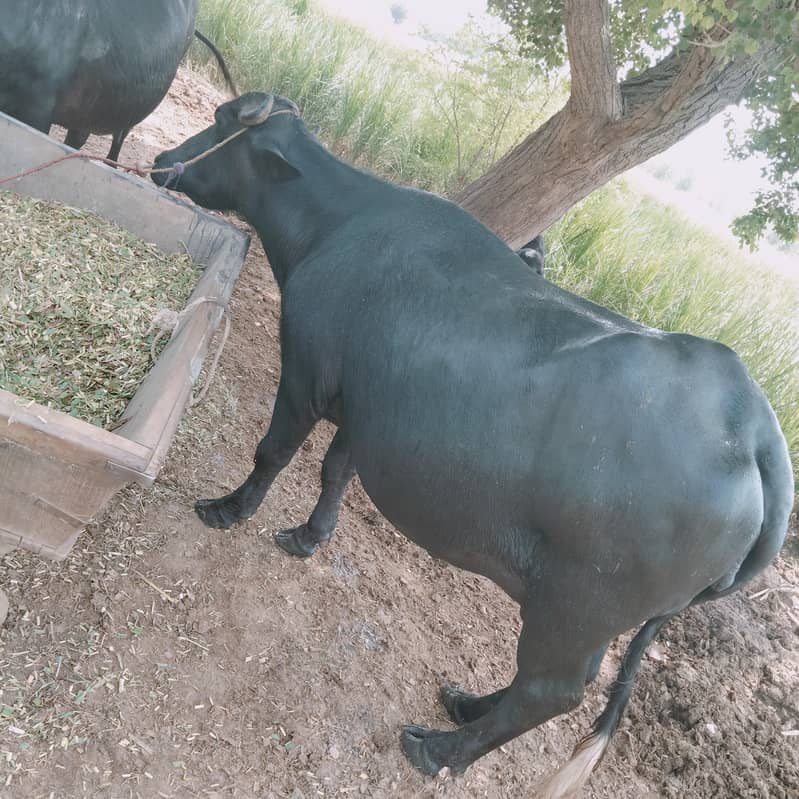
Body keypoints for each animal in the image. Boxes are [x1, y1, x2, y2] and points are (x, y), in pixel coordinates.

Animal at [152, 92, 793, 795]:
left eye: (220, 122)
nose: (161, 160)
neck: (338, 227)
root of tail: (754, 424)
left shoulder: (306, 370)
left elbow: (274, 451)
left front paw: (227, 510)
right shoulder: (368, 406)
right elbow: (336, 470)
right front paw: (306, 537)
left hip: (579, 604)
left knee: (552, 691)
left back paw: (439, 749)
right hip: (587, 614)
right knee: (556, 685)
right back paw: (465, 705)